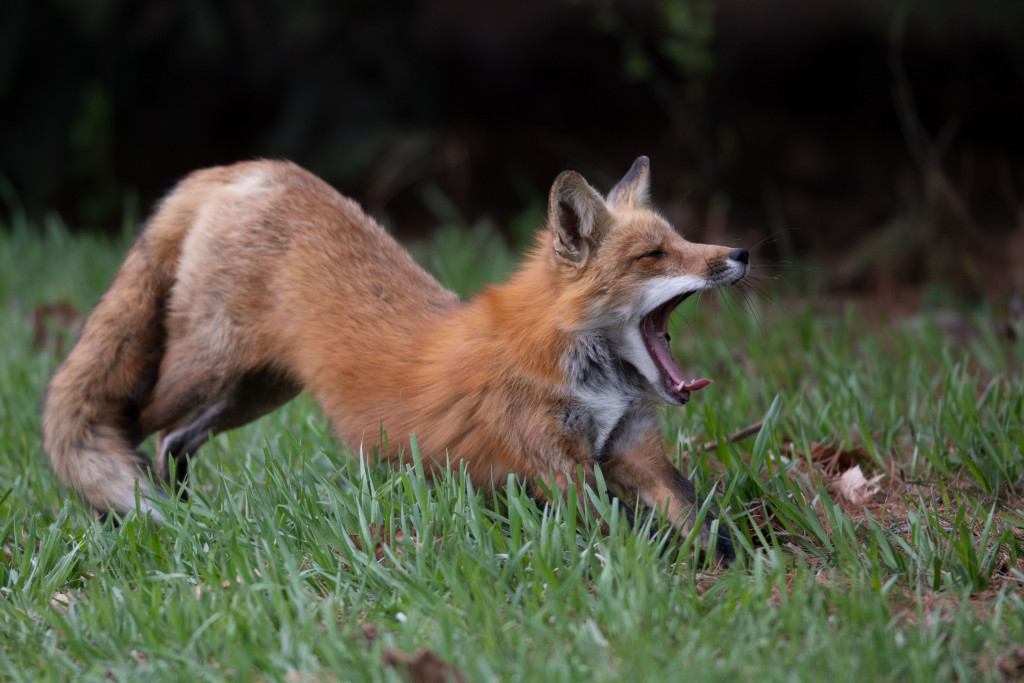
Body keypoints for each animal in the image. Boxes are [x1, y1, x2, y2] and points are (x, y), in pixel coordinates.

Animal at [39, 157, 749, 565]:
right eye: (654, 256)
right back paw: (136, 516)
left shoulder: (633, 449)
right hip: (205, 370)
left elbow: (705, 525)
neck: (591, 377)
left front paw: (744, 573)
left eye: (682, 238)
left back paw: (188, 512)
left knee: (171, 441)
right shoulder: (561, 468)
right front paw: (680, 580)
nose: (739, 253)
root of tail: (245, 167)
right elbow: (640, 534)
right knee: (127, 423)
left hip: (255, 392)